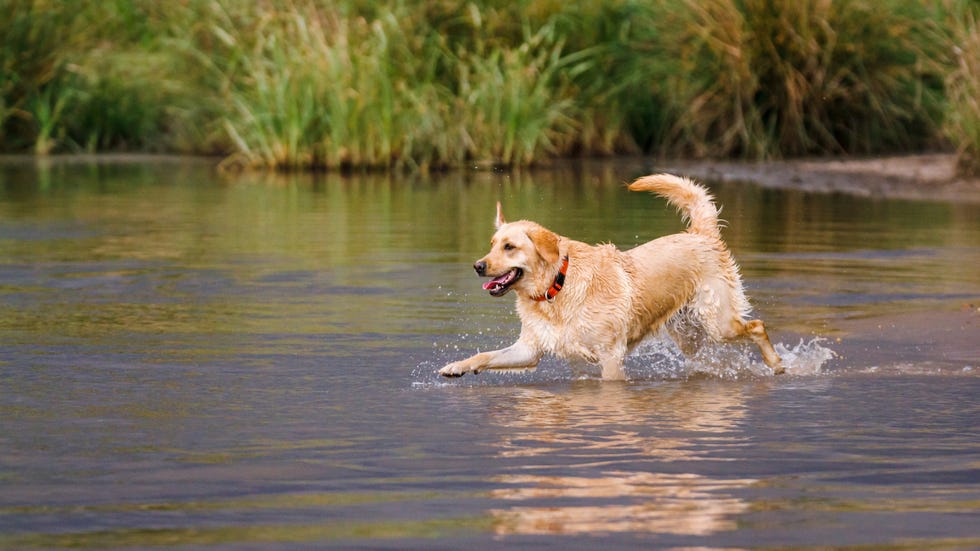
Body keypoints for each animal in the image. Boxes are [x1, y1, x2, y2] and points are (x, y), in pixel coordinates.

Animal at [440, 172, 784, 380]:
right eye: (492, 245)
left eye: (509, 247)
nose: (478, 266)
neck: (556, 289)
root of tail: (701, 233)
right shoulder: (530, 349)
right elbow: (485, 355)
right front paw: (457, 366)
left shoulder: (610, 356)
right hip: (690, 336)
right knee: (712, 359)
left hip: (718, 322)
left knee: (756, 326)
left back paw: (777, 365)